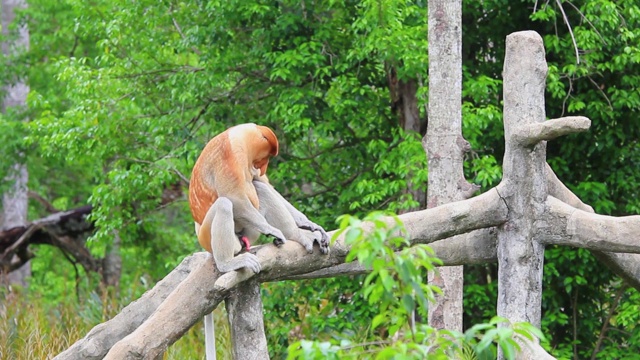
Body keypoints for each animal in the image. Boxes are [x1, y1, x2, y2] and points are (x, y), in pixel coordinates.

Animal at [189, 123, 330, 360]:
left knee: (260, 187)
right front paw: (274, 229)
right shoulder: (230, 154)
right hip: (209, 235)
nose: (261, 169)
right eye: (263, 158)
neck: (242, 137)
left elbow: (265, 186)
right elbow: (235, 196)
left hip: (247, 232)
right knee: (225, 204)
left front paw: (310, 225)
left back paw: (300, 234)